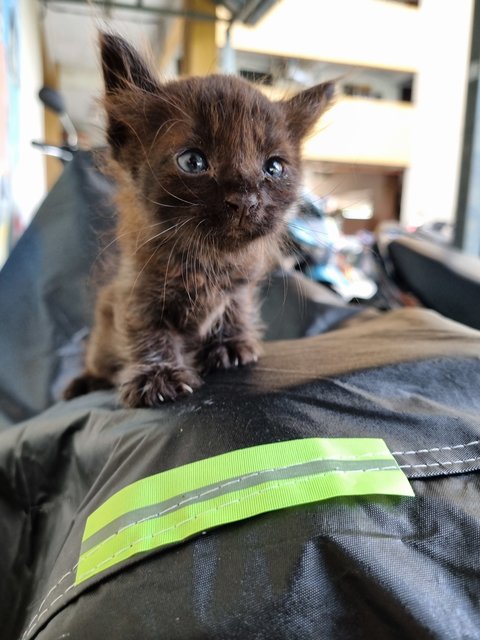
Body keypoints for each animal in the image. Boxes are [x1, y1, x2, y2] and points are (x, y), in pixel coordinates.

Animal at [64, 32, 334, 408]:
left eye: (274, 167)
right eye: (193, 162)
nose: (246, 200)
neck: (208, 262)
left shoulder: (239, 285)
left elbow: (234, 308)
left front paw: (229, 346)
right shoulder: (135, 289)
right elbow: (146, 331)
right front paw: (158, 375)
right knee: (98, 360)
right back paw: (84, 382)